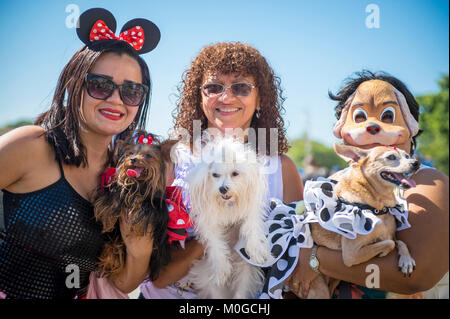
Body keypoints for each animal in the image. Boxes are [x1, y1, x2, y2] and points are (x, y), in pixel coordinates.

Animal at [185, 138, 272, 300]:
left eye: (235, 173)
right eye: (215, 175)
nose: (222, 189)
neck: (228, 204)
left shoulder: (252, 210)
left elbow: (252, 226)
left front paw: (256, 249)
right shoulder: (209, 223)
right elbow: (216, 244)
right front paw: (221, 269)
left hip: (245, 275)